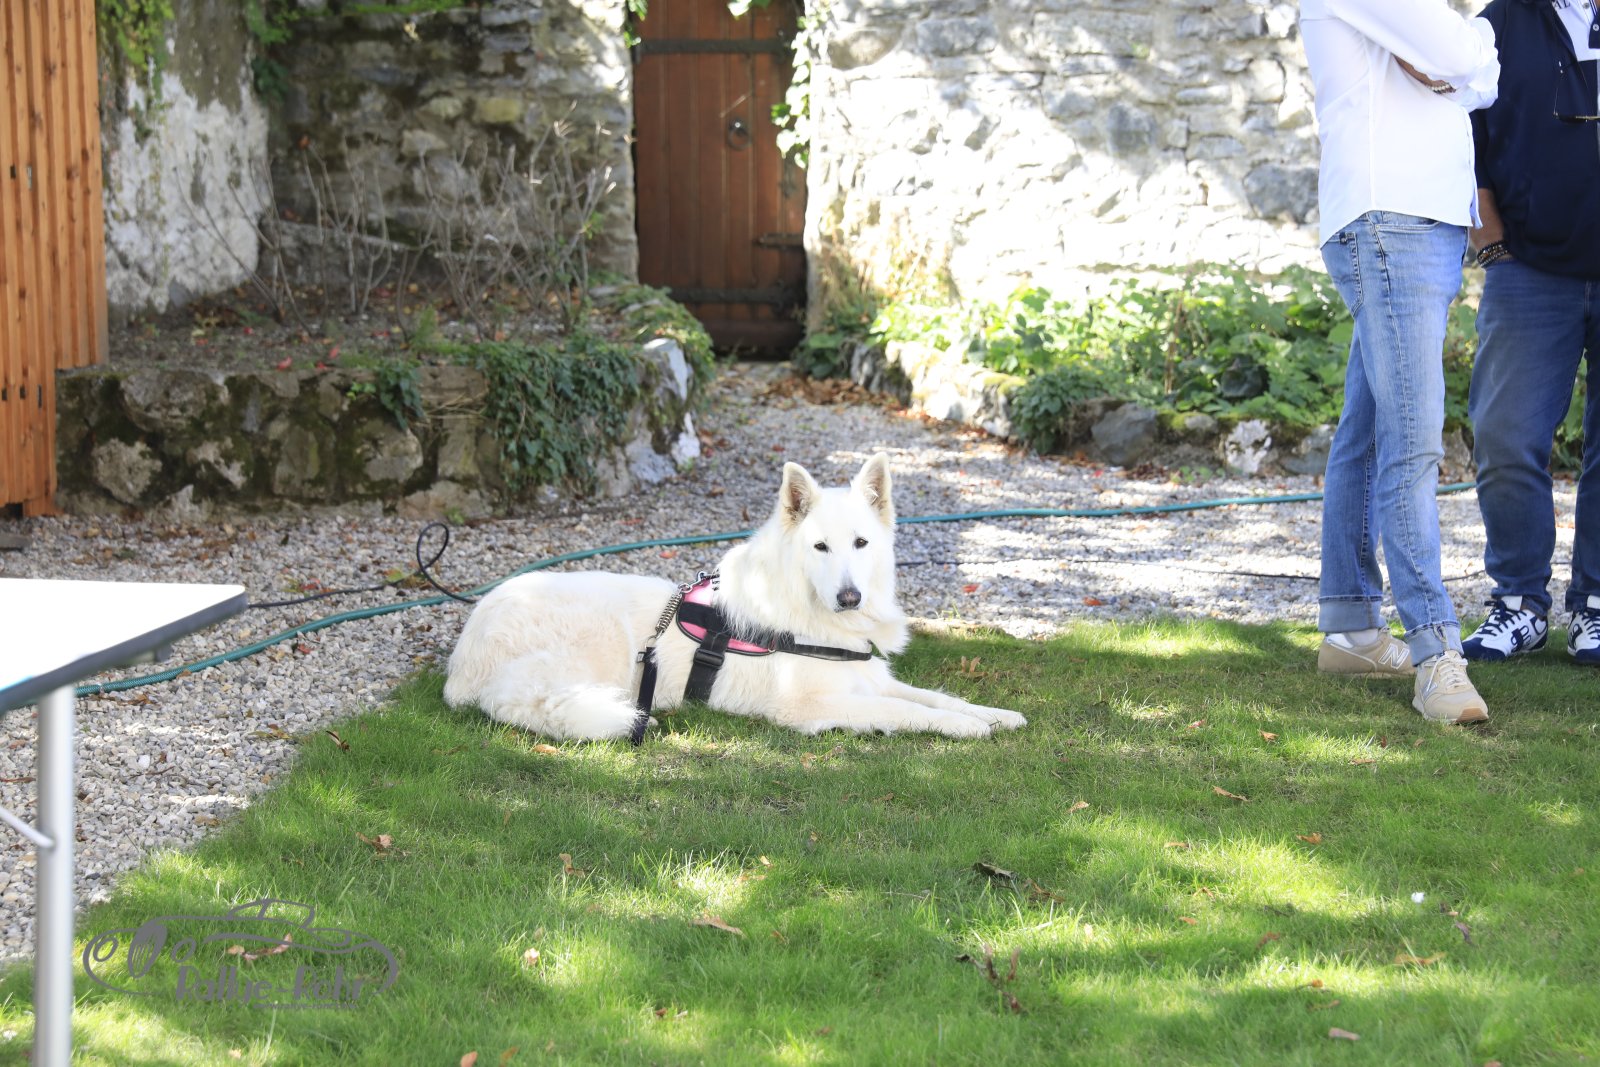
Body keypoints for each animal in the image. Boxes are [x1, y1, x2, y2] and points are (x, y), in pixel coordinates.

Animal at [443, 454, 1028, 741]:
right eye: (820, 546)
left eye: (861, 543)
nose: (849, 597)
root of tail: (463, 655)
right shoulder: (813, 706)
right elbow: (905, 711)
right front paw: (965, 728)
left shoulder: (870, 678)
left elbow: (934, 696)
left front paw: (991, 713)